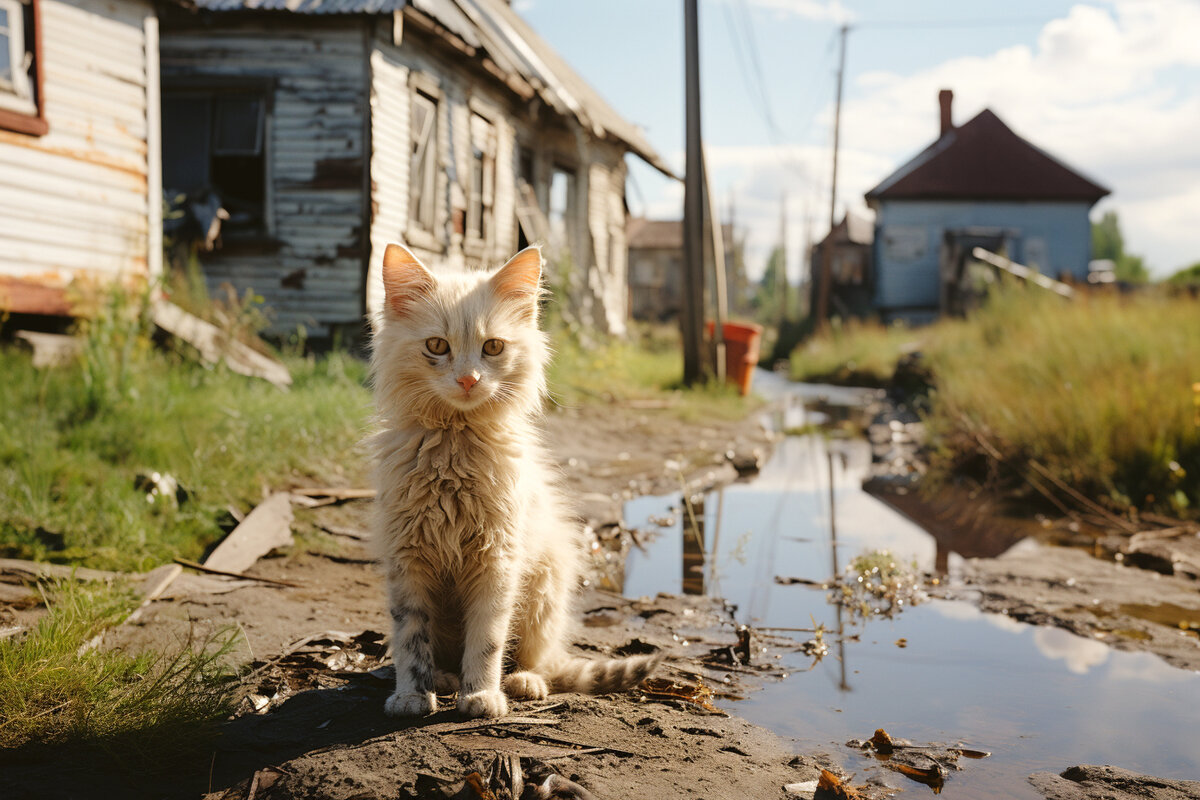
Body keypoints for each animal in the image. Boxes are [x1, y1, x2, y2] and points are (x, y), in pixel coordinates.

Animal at [369, 242, 662, 719]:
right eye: (437, 346)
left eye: (493, 347)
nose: (468, 379)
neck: (455, 445)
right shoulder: (407, 558)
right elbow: (411, 638)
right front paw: (413, 695)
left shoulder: (498, 561)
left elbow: (487, 640)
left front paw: (482, 697)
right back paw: (445, 678)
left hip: (545, 591)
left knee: (536, 659)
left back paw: (523, 683)